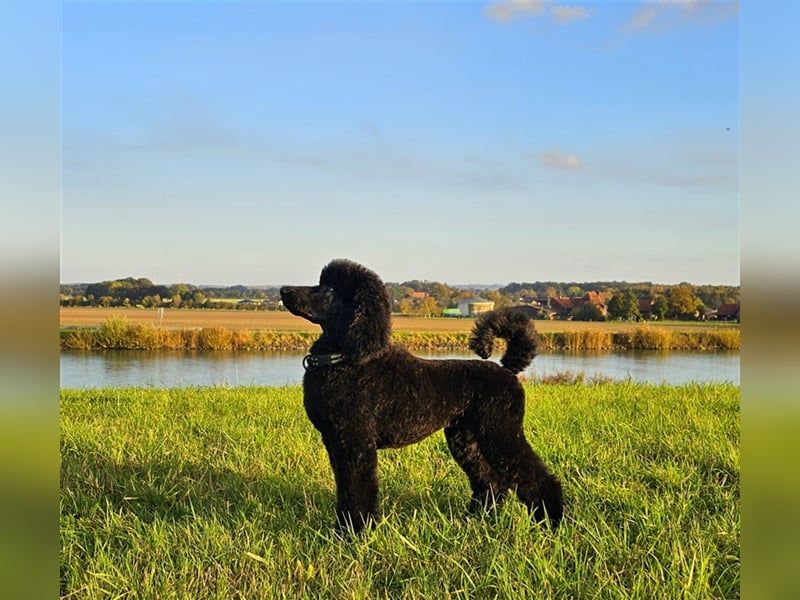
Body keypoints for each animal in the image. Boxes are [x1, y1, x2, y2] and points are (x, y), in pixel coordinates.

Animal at [282, 260, 564, 532]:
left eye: (329, 289)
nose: (284, 290)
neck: (346, 359)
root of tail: (507, 370)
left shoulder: (356, 442)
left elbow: (358, 491)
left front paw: (354, 532)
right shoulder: (336, 441)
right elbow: (345, 491)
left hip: (501, 432)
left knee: (537, 479)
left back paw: (551, 522)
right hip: (467, 439)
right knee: (490, 482)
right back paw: (476, 519)